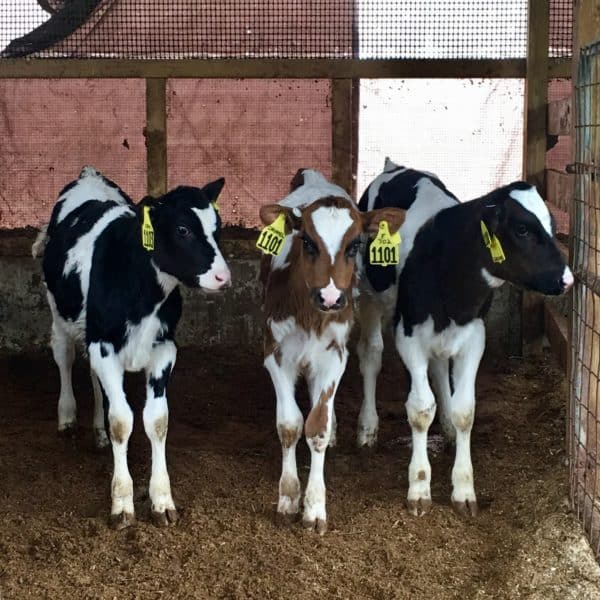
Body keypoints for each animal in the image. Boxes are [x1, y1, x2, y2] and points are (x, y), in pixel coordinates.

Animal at [36, 166, 231, 528]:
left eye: (217, 227)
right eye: (183, 229)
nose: (223, 278)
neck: (142, 294)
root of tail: (89, 174)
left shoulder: (164, 348)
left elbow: (156, 420)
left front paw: (162, 500)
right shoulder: (104, 346)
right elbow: (122, 421)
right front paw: (123, 502)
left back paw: (97, 430)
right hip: (59, 313)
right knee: (64, 357)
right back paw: (67, 417)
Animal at [258, 169, 404, 536]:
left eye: (355, 245)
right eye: (307, 242)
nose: (330, 297)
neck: (311, 315)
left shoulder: (334, 356)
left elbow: (317, 428)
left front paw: (314, 507)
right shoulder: (275, 352)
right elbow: (290, 425)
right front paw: (288, 497)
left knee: (365, 361)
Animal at [356, 158, 572, 516]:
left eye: (552, 225)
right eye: (522, 229)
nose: (566, 279)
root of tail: (394, 166)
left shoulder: (474, 334)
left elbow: (465, 410)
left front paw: (464, 487)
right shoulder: (409, 334)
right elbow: (420, 408)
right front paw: (419, 486)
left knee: (439, 368)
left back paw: (445, 427)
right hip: (370, 293)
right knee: (372, 355)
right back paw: (367, 428)